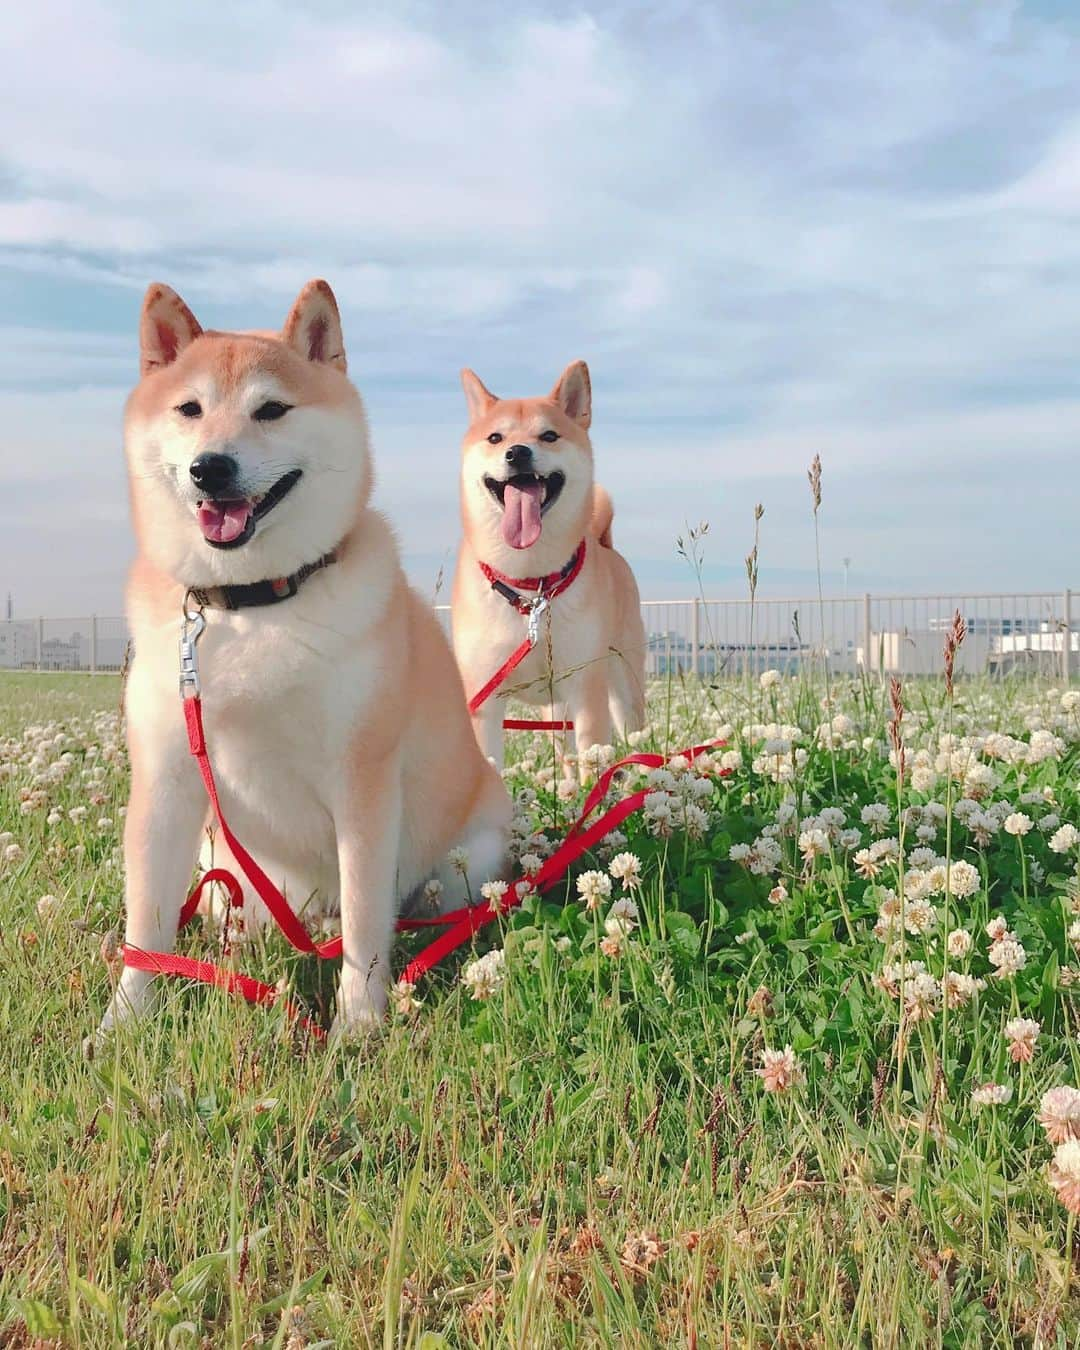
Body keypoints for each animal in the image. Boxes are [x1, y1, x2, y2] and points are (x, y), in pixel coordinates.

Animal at [99, 279, 507, 1036]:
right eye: (190, 409)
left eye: (271, 409)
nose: (211, 466)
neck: (250, 605)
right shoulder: (166, 779)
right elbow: (146, 927)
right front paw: (124, 1024)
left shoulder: (363, 779)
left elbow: (369, 919)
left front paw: (359, 1024)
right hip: (221, 868)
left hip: (471, 856)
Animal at [448, 361, 642, 772]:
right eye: (495, 437)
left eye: (549, 435)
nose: (517, 452)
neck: (530, 584)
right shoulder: (484, 697)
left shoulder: (586, 687)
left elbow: (592, 767)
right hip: (556, 707)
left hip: (621, 684)